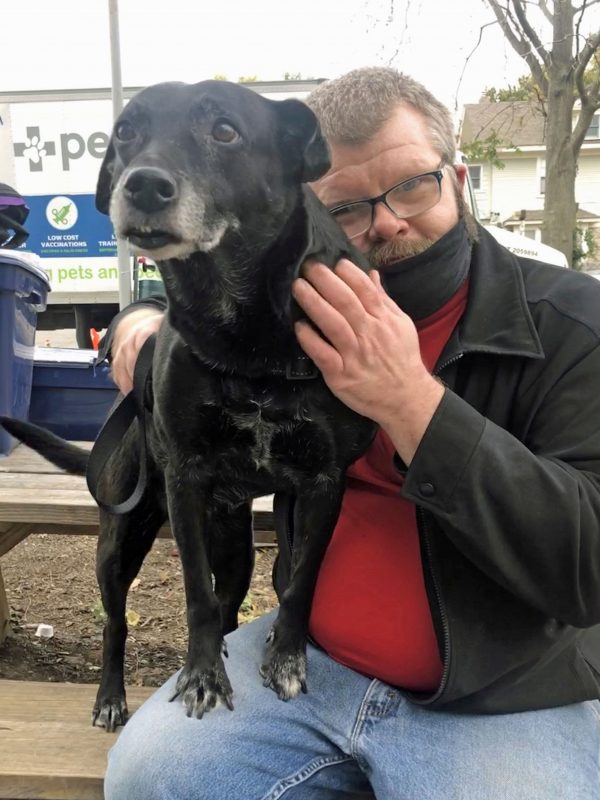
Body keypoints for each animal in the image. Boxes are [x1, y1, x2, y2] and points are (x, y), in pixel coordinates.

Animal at [1, 83, 376, 732]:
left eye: (225, 131)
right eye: (126, 131)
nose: (142, 186)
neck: (243, 334)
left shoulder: (322, 482)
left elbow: (300, 581)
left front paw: (286, 657)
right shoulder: (186, 480)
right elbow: (195, 594)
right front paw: (200, 676)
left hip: (235, 547)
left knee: (228, 602)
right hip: (121, 541)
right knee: (118, 622)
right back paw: (111, 695)